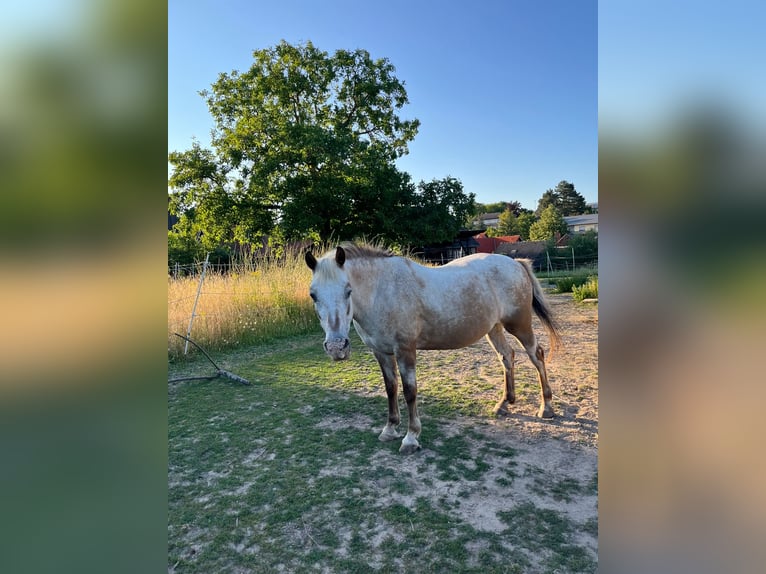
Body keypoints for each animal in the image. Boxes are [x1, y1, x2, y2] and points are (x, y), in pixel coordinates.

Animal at [304, 243, 561, 454]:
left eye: (348, 290)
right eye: (313, 295)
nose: (336, 347)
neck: (382, 291)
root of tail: (515, 264)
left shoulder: (405, 350)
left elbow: (410, 392)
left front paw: (410, 438)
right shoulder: (381, 352)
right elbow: (390, 389)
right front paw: (390, 429)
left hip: (519, 326)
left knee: (537, 356)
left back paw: (546, 407)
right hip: (494, 328)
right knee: (507, 356)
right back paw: (504, 404)